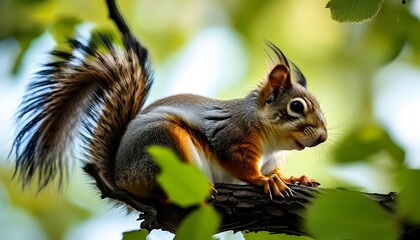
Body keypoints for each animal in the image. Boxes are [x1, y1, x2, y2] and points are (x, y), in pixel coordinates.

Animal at [11, 0, 328, 202]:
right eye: (296, 106)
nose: (324, 136)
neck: (273, 141)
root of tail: (120, 177)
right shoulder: (234, 136)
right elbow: (240, 165)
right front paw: (265, 181)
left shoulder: (270, 158)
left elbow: (275, 171)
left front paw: (294, 179)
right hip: (166, 143)